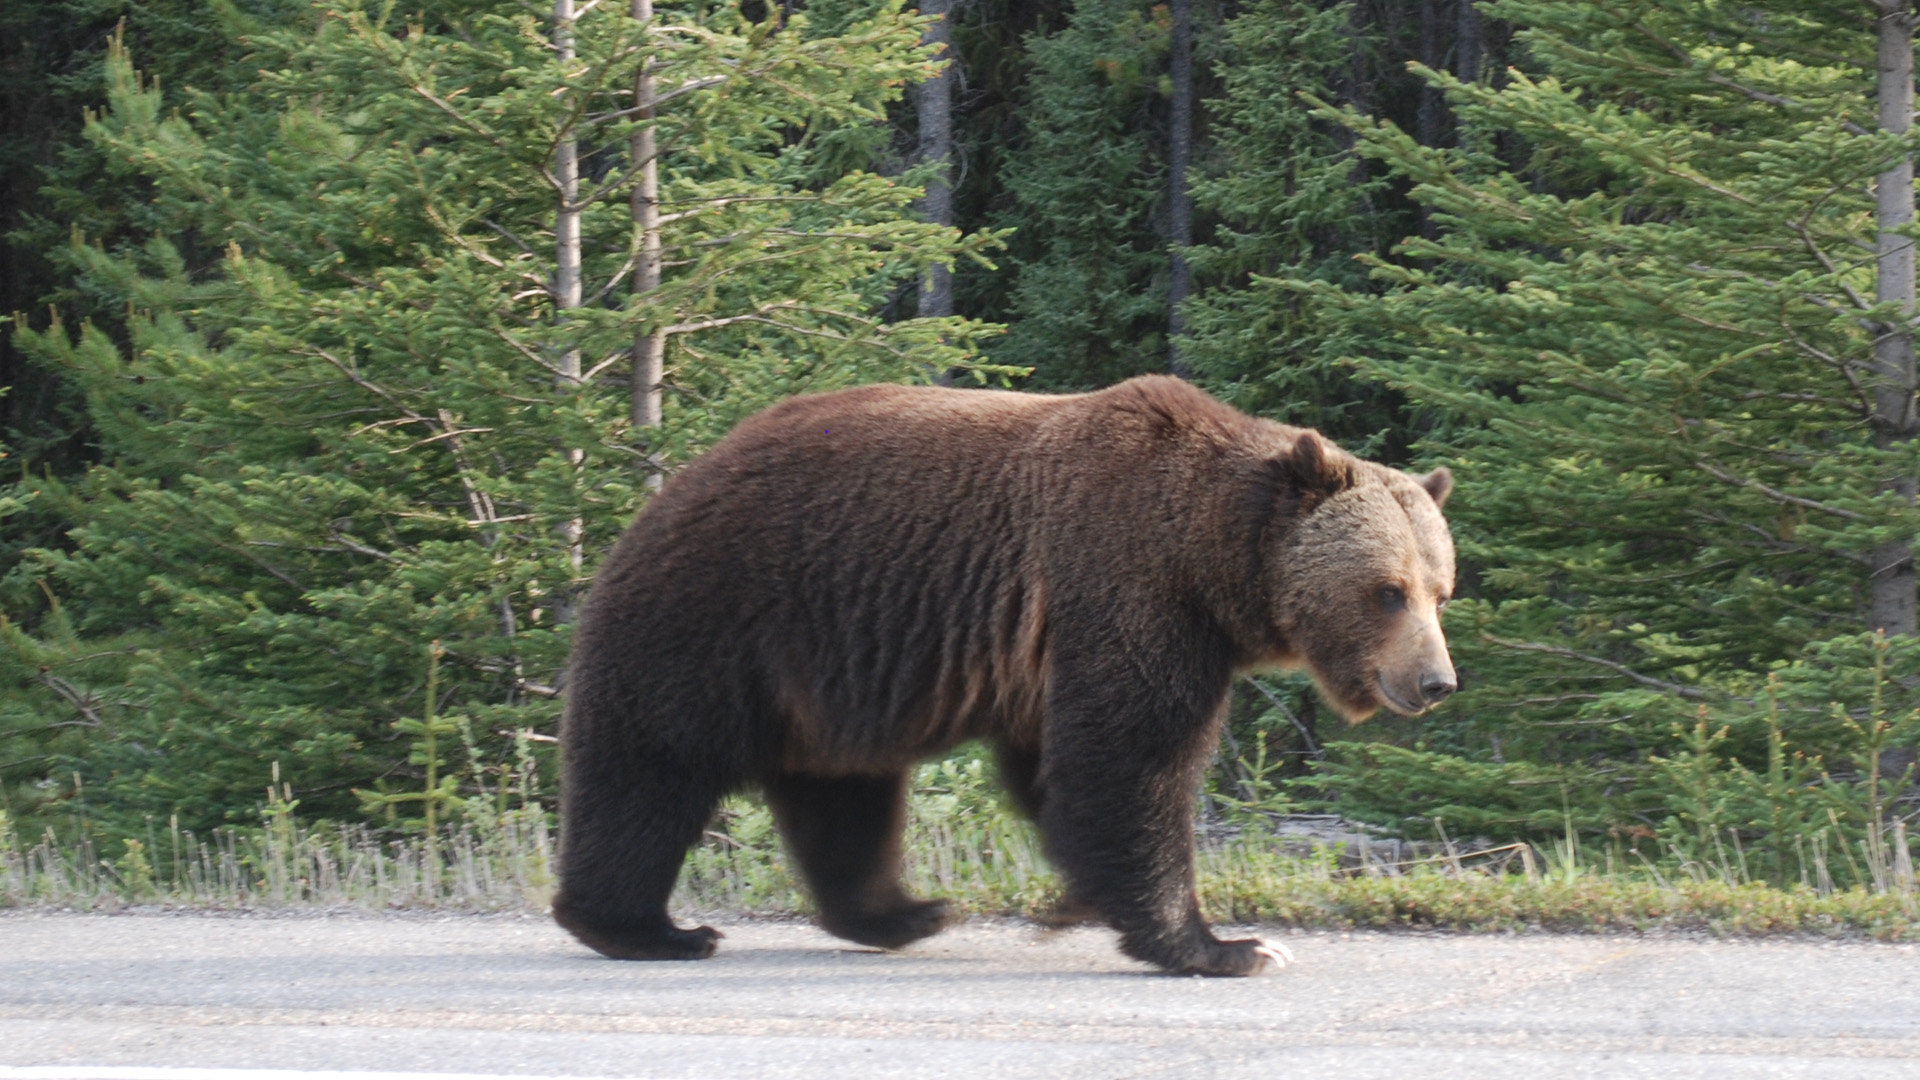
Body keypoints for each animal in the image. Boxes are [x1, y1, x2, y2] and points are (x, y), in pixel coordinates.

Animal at [556, 374, 1451, 972]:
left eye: (1441, 589)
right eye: (1387, 590)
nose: (1437, 682)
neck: (1209, 557)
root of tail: (670, 485)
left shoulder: (1056, 644)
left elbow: (1059, 769)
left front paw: (1084, 900)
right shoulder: (1126, 586)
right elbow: (1134, 760)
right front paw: (1226, 943)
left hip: (828, 667)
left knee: (843, 792)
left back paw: (904, 913)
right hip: (718, 614)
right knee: (652, 768)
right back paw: (648, 928)